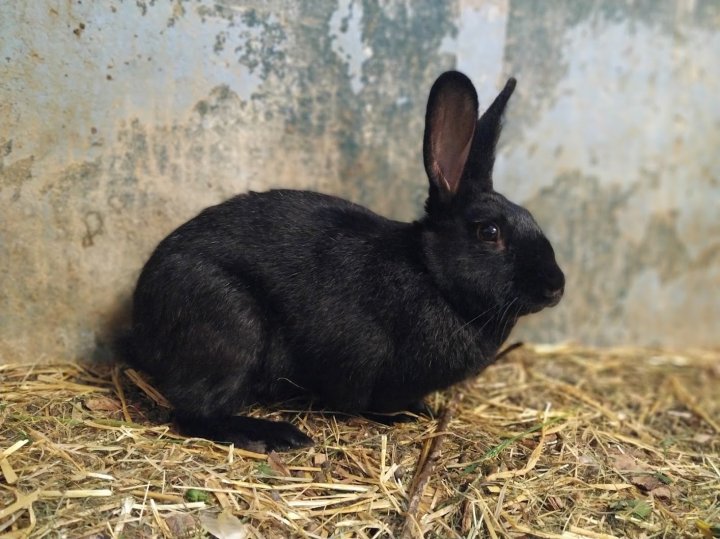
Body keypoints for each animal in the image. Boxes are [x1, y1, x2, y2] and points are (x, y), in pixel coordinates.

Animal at [121, 71, 564, 452]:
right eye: (489, 232)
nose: (556, 286)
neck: (431, 275)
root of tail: (141, 318)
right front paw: (405, 415)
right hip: (231, 326)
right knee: (196, 412)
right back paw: (275, 435)